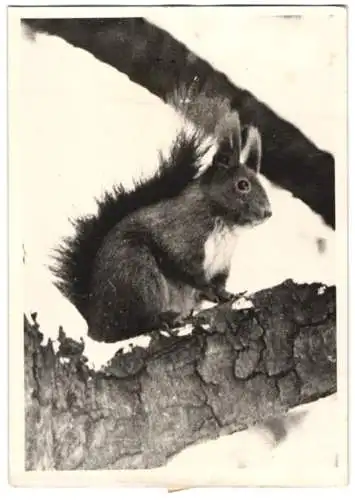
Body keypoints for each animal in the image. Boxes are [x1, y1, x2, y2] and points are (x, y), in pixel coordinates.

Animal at [50, 94, 272, 344]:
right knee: (132, 324)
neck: (225, 225)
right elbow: (188, 269)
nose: (267, 212)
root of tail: (95, 322)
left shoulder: (222, 264)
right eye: (242, 185)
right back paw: (165, 318)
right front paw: (211, 291)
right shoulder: (182, 238)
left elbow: (219, 282)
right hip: (138, 274)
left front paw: (226, 295)